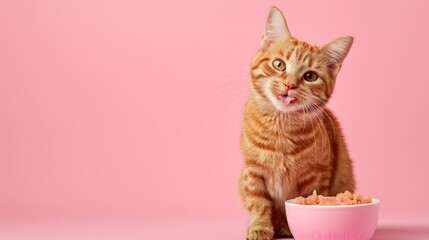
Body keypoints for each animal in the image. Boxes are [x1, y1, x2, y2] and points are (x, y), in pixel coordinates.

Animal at [237, 6, 354, 239]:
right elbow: (258, 202)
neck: (281, 128)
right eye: (279, 64)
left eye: (310, 76)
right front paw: (260, 226)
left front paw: (292, 226)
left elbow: (307, 200)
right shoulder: (252, 171)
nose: (289, 84)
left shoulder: (317, 175)